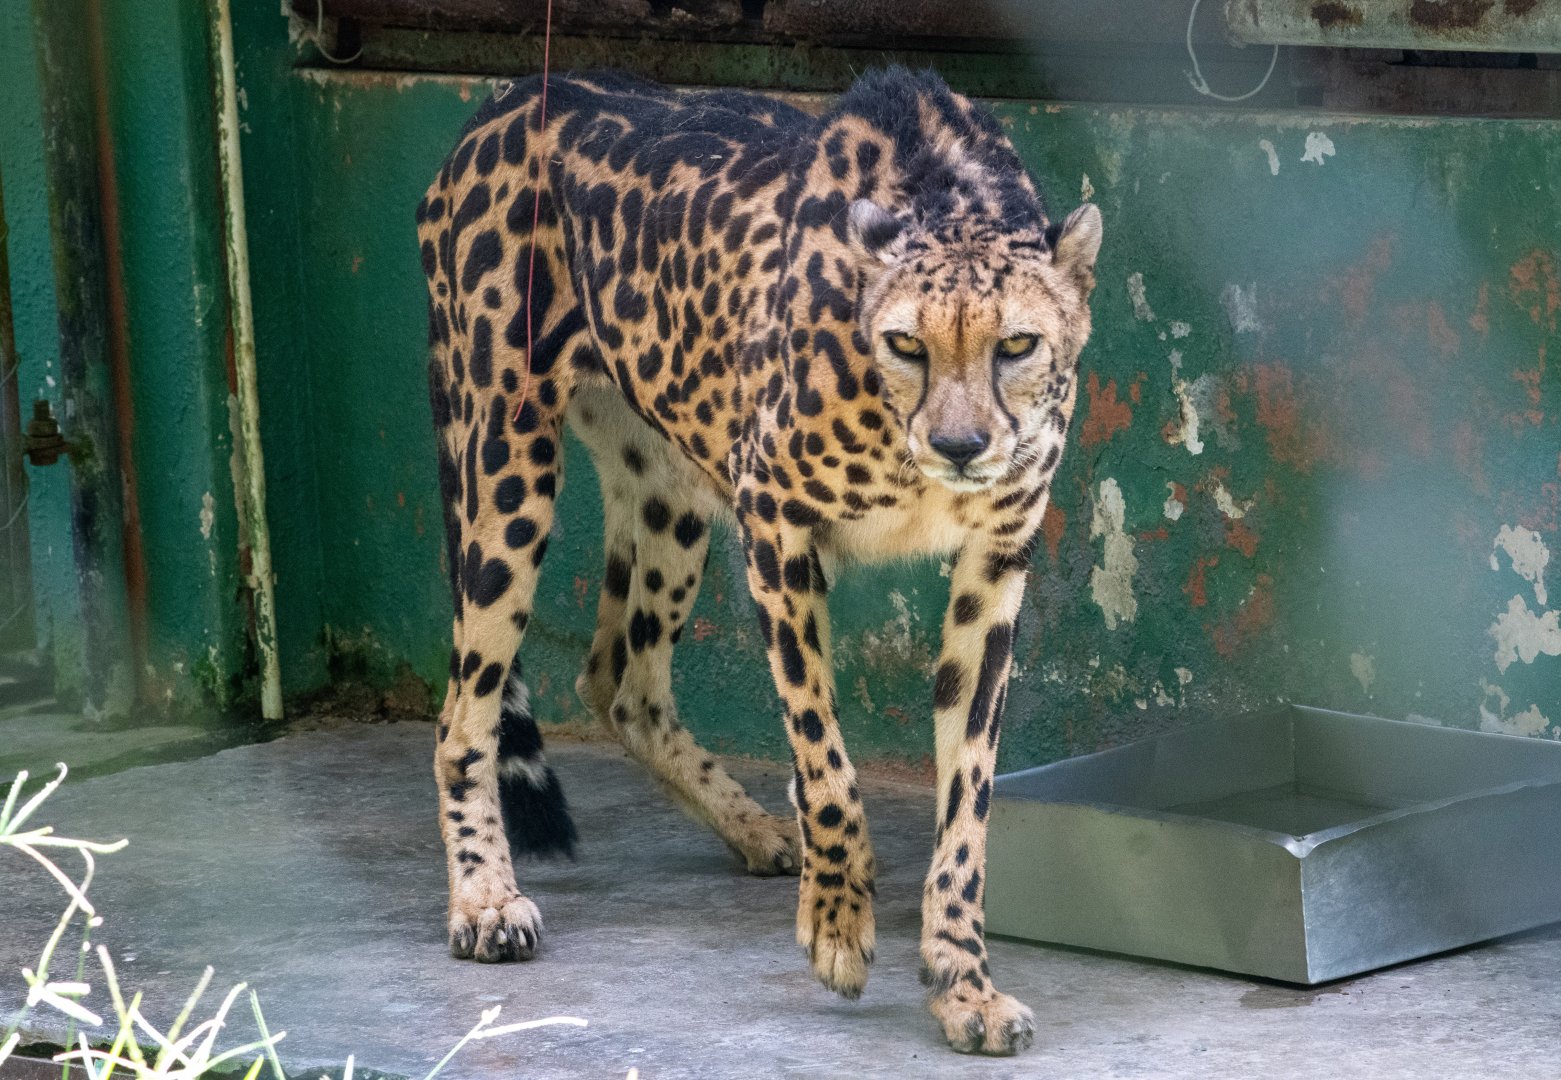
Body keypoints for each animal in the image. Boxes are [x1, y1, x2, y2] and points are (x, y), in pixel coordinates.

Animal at [416, 66, 1101, 1056]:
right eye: (906, 344)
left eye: (1016, 344)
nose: (961, 445)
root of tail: (509, 96)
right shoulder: (773, 521)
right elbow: (827, 761)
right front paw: (838, 921)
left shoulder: (994, 560)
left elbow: (967, 803)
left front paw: (962, 982)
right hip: (507, 466)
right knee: (463, 714)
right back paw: (484, 901)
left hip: (667, 489)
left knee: (618, 677)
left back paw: (750, 829)